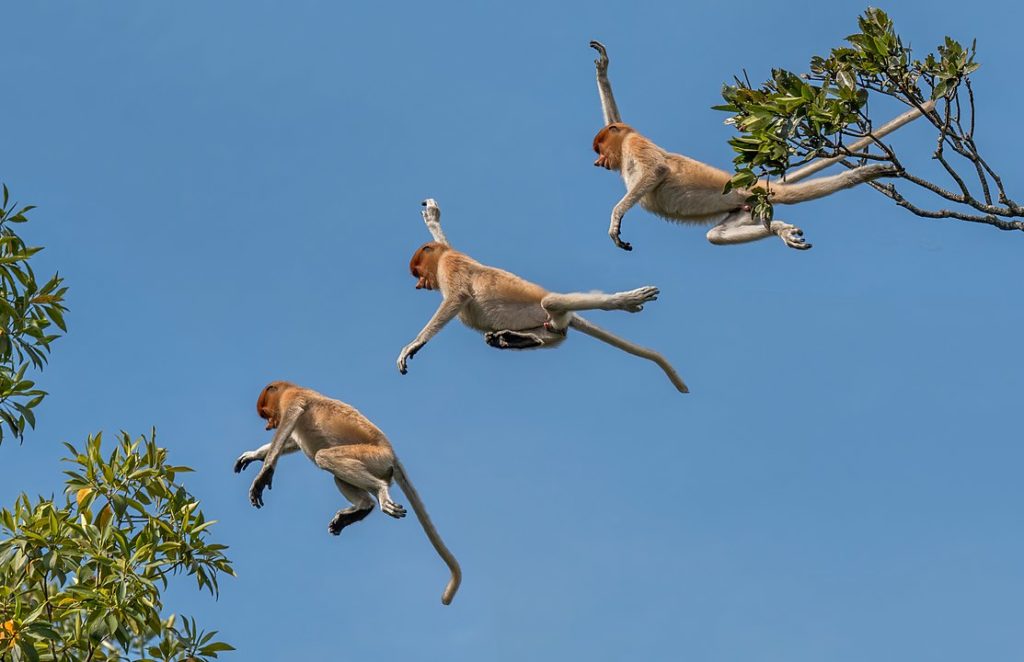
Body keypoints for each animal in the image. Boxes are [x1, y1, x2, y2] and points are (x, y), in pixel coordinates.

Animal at [234, 381, 462, 605]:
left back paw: (380, 492)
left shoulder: (292, 399)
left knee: (323, 457)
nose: (268, 425)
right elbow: (291, 442)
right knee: (337, 476)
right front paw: (252, 455)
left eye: (266, 413)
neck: (290, 388)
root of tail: (392, 455)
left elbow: (288, 425)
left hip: (373, 457)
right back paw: (361, 509)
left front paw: (263, 476)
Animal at [397, 199, 689, 393]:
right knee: (554, 334)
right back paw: (513, 339)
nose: (420, 284)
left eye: (418, 271)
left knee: (552, 302)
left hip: (545, 308)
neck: (441, 259)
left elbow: (456, 298)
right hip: (549, 325)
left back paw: (626, 301)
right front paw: (433, 217)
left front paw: (413, 345)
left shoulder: (450, 265)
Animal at [589, 40, 900, 252]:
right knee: (716, 236)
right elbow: (616, 117)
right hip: (743, 208)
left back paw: (865, 174)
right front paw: (602, 69)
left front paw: (615, 221)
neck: (624, 145)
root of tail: (749, 185)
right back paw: (780, 230)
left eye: (600, 149)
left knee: (790, 196)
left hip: (748, 195)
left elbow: (656, 171)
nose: (598, 162)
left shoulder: (634, 142)